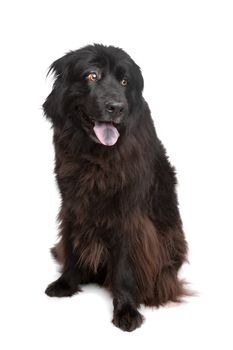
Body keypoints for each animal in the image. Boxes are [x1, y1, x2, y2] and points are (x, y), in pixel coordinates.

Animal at [43, 45, 187, 332]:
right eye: (92, 75)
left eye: (124, 82)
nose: (117, 107)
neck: (96, 157)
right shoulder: (72, 204)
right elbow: (72, 244)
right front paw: (67, 282)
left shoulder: (128, 215)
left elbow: (124, 267)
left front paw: (126, 309)